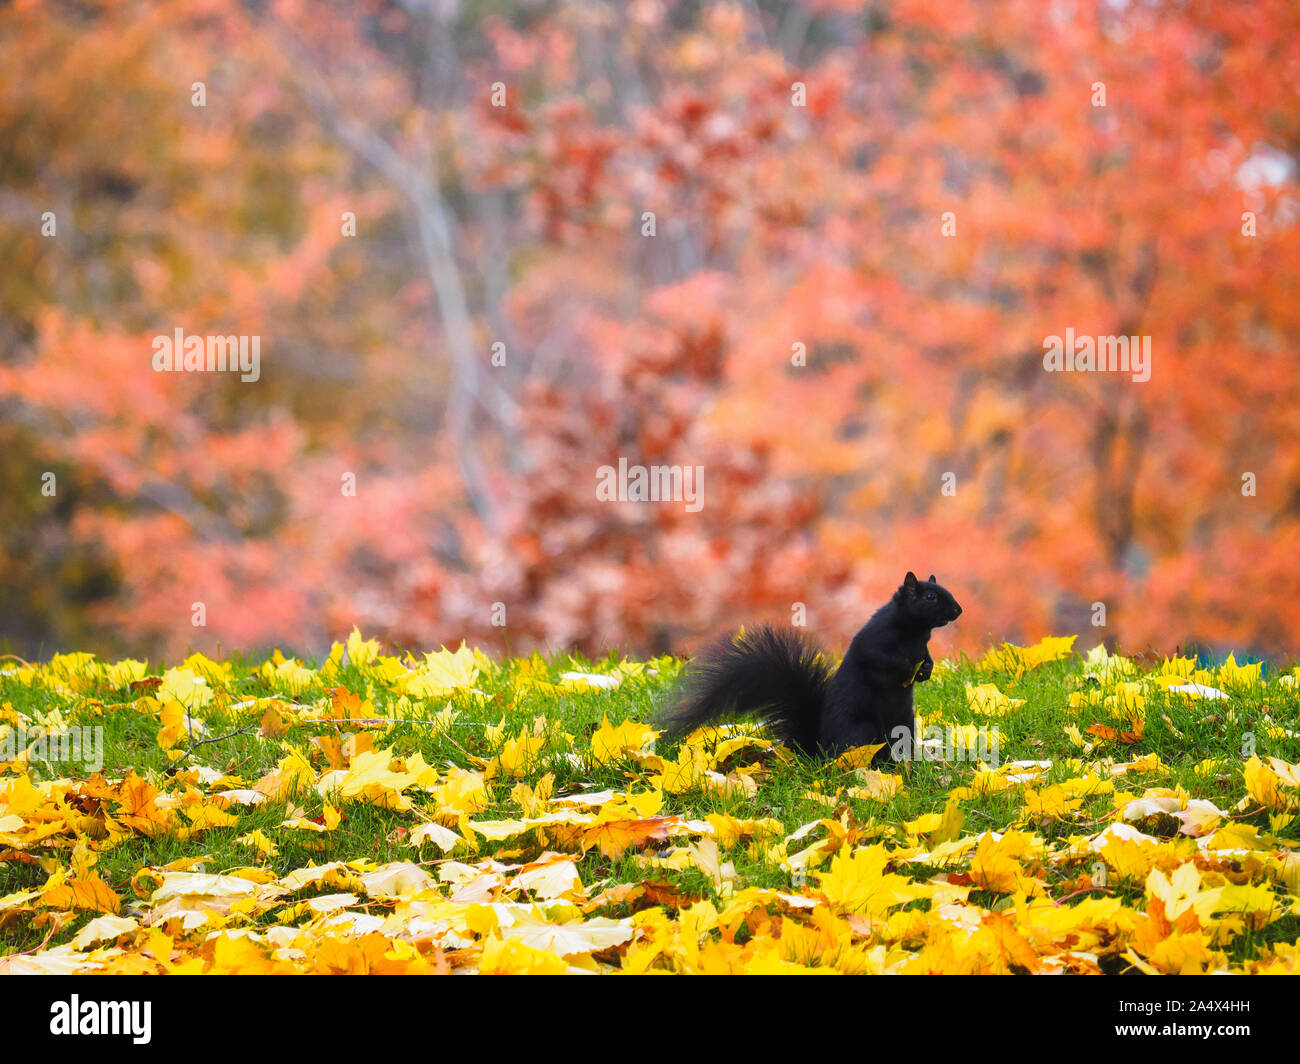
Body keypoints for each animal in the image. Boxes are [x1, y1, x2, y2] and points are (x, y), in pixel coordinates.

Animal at [665, 577, 961, 759]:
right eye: (931, 596)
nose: (958, 610)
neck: (916, 632)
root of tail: (819, 752)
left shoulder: (921, 646)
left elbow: (926, 657)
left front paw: (926, 669)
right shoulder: (873, 639)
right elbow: (877, 656)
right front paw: (906, 667)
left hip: (904, 725)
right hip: (863, 731)